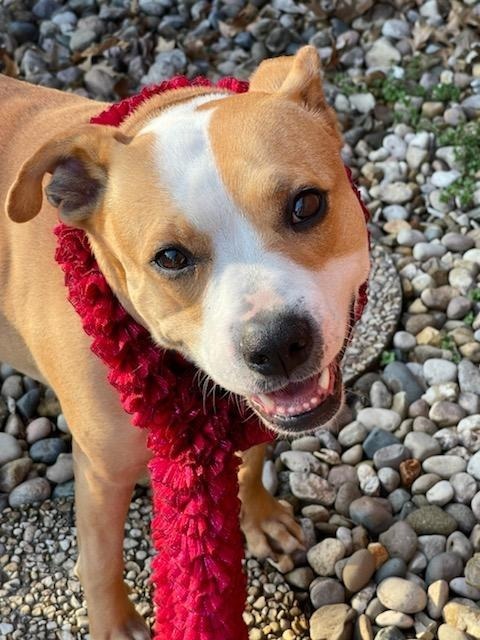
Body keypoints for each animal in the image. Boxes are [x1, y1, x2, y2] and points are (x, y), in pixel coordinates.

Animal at [0, 46, 368, 640]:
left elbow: (253, 458)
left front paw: (258, 517)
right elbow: (98, 557)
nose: (276, 344)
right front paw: (114, 623)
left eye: (307, 205)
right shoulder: (100, 471)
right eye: (170, 257)